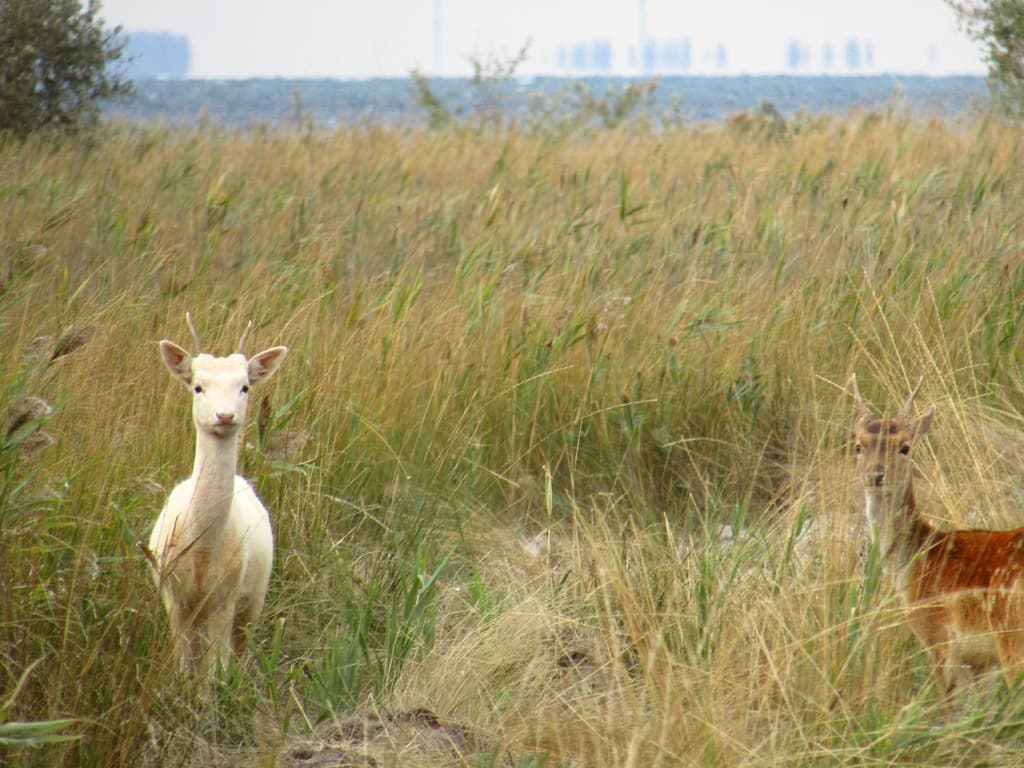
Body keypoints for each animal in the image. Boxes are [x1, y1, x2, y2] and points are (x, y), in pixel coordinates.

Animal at [147, 315, 288, 675]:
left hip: (253, 599)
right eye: (198, 386)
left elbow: (216, 669)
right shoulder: (173, 594)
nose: (224, 415)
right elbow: (183, 663)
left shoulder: (226, 595)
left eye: (245, 386)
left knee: (239, 649)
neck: (202, 550)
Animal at [851, 376, 1024, 696]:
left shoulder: (937, 637)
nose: (875, 475)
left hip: (1012, 641)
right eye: (858, 445)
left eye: (905, 447)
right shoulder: (979, 661)